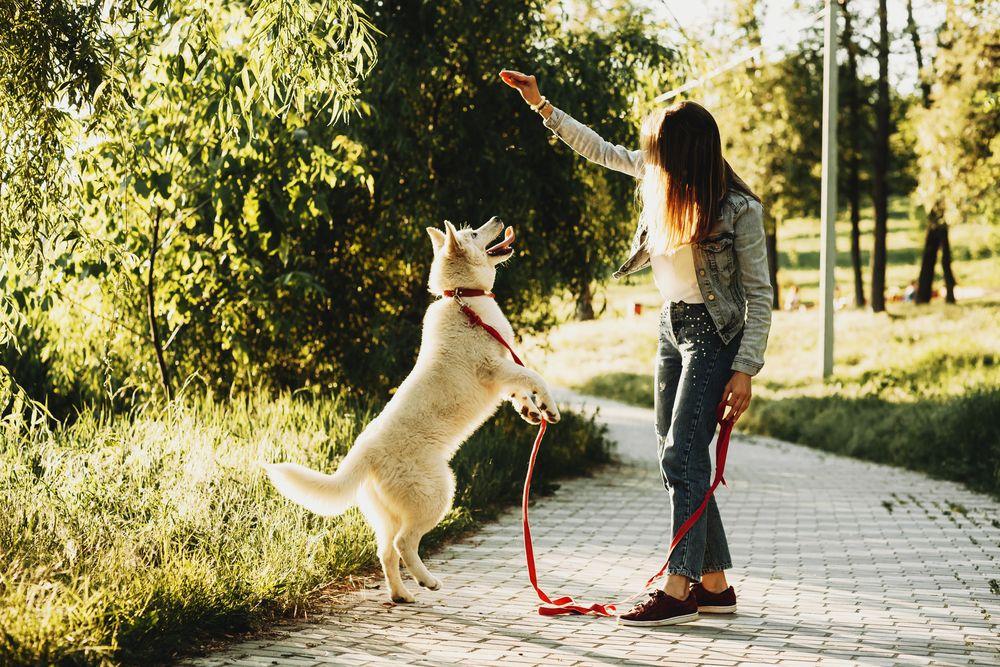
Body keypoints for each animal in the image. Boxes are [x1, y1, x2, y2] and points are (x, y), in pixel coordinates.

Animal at [266, 217, 560, 604]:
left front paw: (531, 412)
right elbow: (534, 377)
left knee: (385, 551)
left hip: (388, 514)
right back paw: (427, 581)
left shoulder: (502, 376)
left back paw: (401, 594)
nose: (498, 220)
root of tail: (364, 453)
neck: (462, 296)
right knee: (404, 544)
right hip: (437, 494)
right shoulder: (496, 368)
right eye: (473, 233)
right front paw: (549, 408)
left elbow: (520, 392)